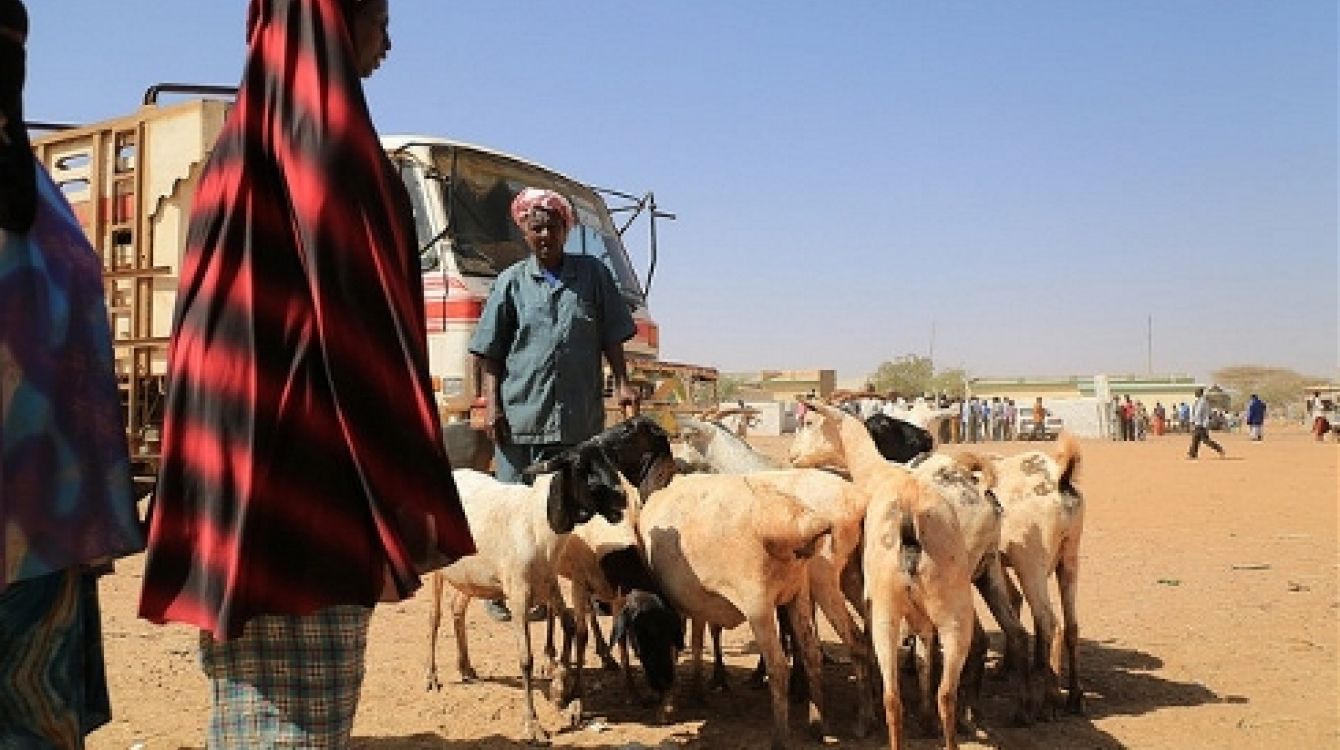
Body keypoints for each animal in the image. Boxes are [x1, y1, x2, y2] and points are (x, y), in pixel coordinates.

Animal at [426, 439, 629, 744]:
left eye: (610, 459)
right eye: (581, 467)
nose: (622, 499)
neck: (536, 523)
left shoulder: (549, 584)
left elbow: (569, 625)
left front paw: (559, 688)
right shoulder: (518, 594)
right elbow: (526, 660)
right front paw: (533, 724)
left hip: (472, 576)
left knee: (457, 608)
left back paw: (466, 668)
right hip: (435, 567)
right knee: (434, 617)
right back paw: (431, 678)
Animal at [787, 399, 1029, 750]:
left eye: (808, 423)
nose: (791, 456)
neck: (877, 470)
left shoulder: (872, 596)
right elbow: (925, 657)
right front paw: (926, 719)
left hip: (894, 607)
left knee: (894, 692)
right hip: (976, 582)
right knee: (968, 671)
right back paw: (1006, 713)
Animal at [991, 431, 1082, 717]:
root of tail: (1061, 481)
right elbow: (1013, 601)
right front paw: (1005, 667)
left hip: (1031, 564)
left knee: (1049, 622)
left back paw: (1048, 698)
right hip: (1069, 559)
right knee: (1070, 626)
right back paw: (1074, 697)